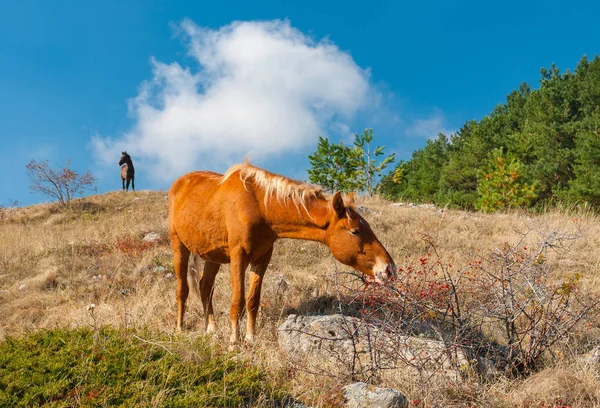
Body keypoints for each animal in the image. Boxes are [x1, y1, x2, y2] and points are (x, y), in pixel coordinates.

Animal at [166, 161, 396, 346]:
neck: (259, 206)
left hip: (213, 256)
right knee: (183, 289)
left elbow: (252, 301)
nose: (388, 269)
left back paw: (210, 329)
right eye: (355, 230)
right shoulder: (238, 256)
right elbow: (237, 301)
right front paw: (234, 343)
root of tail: (179, 183)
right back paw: (179, 328)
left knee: (205, 287)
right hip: (179, 247)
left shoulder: (261, 258)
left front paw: (250, 338)